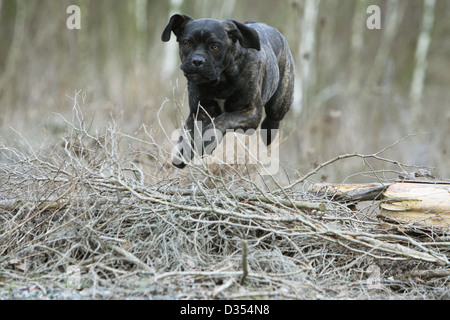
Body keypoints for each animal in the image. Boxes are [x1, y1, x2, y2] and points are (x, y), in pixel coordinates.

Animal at [163, 14, 296, 170]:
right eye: (187, 44)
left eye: (215, 47)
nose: (197, 61)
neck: (221, 81)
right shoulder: (199, 112)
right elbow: (189, 133)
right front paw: (183, 152)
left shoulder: (250, 112)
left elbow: (223, 119)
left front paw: (205, 143)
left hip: (279, 104)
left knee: (273, 119)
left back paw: (267, 133)